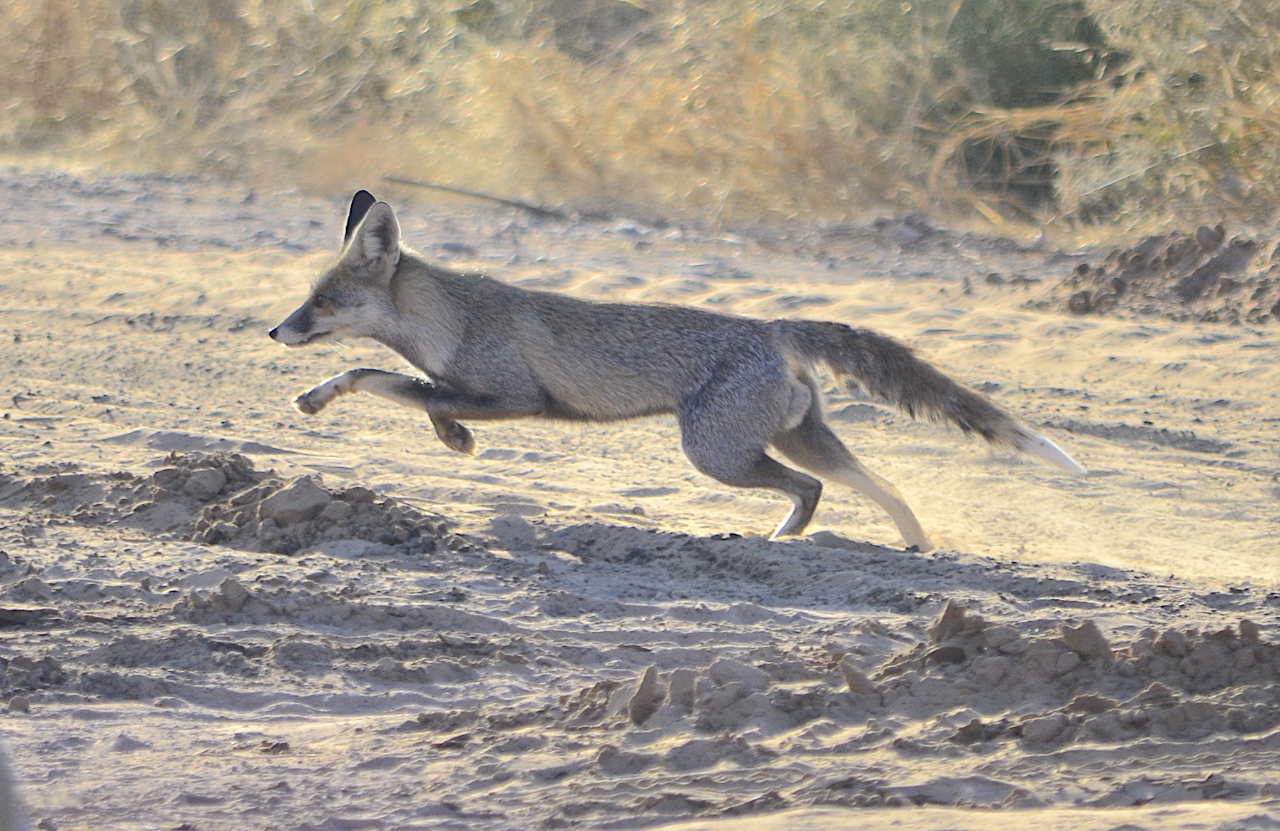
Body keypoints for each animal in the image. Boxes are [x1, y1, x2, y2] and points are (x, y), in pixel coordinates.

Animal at [269, 191, 1084, 550]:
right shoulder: (482, 389)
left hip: (715, 454)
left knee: (815, 489)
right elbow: (407, 389)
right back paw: (910, 548)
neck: (452, 320)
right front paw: (445, 437)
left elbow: (385, 380)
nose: (277, 329)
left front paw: (339, 400)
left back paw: (783, 541)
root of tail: (769, 327)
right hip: (792, 440)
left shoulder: (516, 394)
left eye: (324, 301)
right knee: (874, 486)